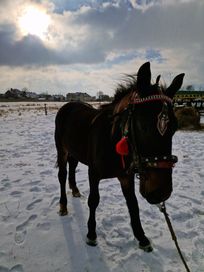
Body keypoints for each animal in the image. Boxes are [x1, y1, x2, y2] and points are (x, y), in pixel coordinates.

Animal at [54, 62, 185, 252]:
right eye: (143, 125)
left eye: (174, 127)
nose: (161, 192)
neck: (111, 139)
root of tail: (67, 106)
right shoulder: (94, 174)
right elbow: (94, 201)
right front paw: (91, 234)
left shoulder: (126, 177)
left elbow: (133, 204)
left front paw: (142, 237)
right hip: (62, 150)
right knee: (62, 175)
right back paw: (63, 205)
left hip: (74, 151)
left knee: (72, 167)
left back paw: (76, 190)